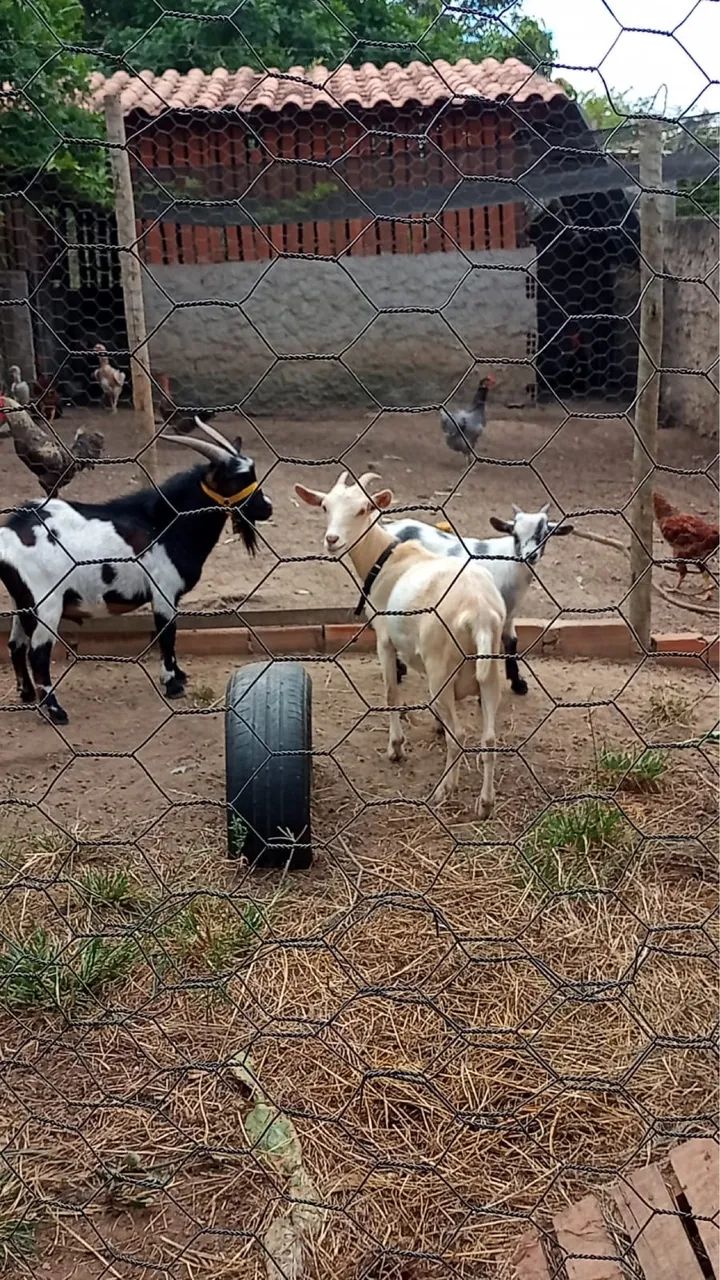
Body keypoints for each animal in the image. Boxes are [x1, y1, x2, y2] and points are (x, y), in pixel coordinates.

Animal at [0, 422, 272, 725]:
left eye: (252, 472)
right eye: (236, 480)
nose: (267, 507)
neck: (165, 523)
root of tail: (9, 533)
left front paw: (179, 676)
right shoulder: (163, 591)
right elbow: (167, 633)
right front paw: (172, 684)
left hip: (22, 602)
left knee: (16, 645)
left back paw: (26, 694)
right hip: (46, 604)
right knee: (38, 654)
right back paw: (56, 711)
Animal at [296, 471, 506, 816]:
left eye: (363, 509)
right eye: (325, 507)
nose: (332, 539)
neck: (384, 558)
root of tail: (479, 612)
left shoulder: (384, 637)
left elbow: (391, 692)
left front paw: (395, 747)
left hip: (441, 668)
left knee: (459, 734)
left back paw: (445, 789)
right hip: (489, 671)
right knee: (489, 739)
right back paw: (485, 804)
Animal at [385, 505, 573, 696]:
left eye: (544, 534)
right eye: (515, 534)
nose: (530, 555)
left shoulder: (509, 614)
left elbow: (512, 642)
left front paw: (518, 683)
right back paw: (398, 671)